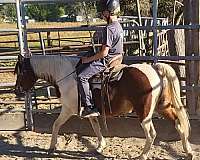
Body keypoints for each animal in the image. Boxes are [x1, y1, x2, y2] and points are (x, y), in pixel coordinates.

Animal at [13, 54, 192, 159]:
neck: (66, 75)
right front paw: (100, 147)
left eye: (20, 72)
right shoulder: (89, 111)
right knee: (178, 124)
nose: (17, 91)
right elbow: (96, 127)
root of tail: (154, 68)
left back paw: (142, 155)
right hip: (163, 106)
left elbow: (56, 124)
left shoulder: (68, 109)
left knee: (151, 133)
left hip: (144, 113)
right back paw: (188, 151)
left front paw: (52, 147)